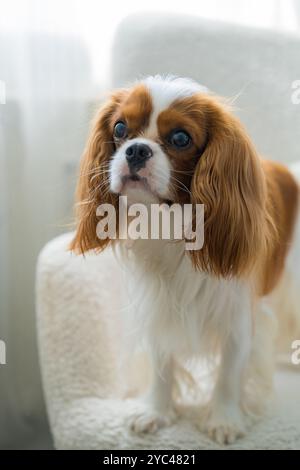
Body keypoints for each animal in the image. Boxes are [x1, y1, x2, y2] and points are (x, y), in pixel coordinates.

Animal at [71, 76, 300, 444]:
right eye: (120, 128)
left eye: (180, 138)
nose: (136, 150)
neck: (172, 224)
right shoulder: (159, 303)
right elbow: (161, 362)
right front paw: (157, 411)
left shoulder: (237, 313)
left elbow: (229, 372)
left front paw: (224, 419)